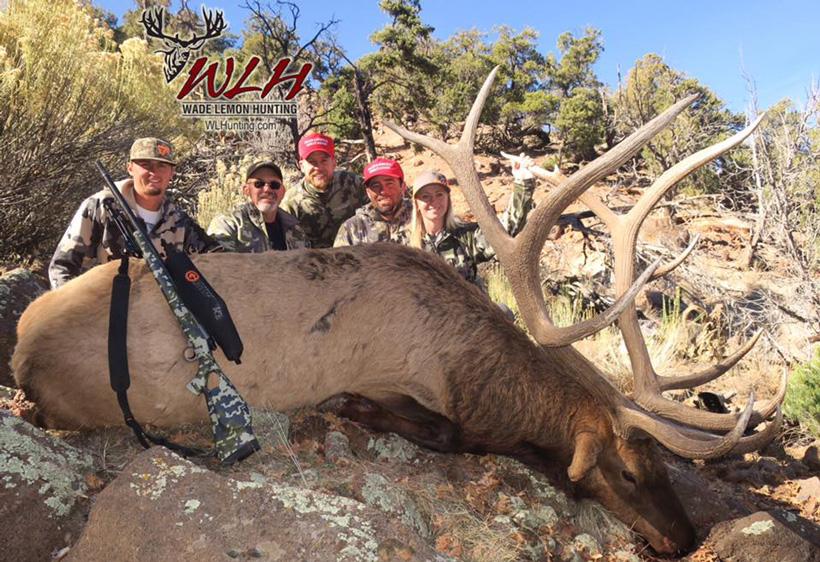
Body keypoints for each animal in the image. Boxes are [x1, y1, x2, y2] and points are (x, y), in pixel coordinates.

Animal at [12, 68, 785, 554]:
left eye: (661, 467)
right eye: (628, 471)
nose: (684, 538)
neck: (474, 375)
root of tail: (20, 349)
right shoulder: (407, 388)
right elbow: (442, 433)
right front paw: (353, 410)